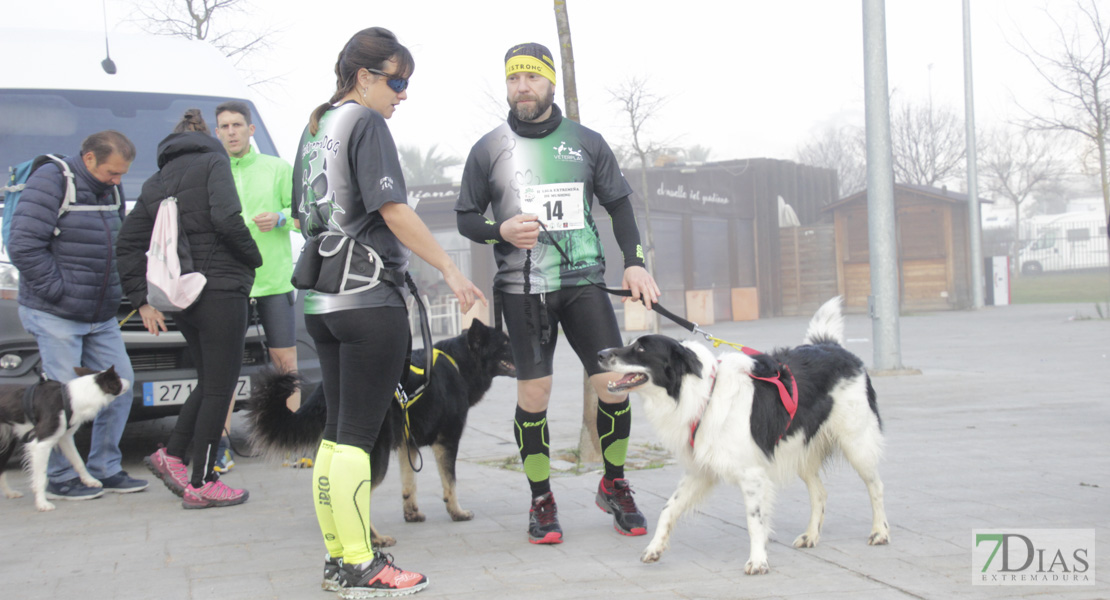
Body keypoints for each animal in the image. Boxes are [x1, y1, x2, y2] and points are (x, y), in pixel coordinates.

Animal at [245, 319, 512, 545]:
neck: (459, 362)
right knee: (354, 496)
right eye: (505, 344)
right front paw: (457, 512)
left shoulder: (407, 445)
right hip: (376, 457)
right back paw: (375, 539)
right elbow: (450, 483)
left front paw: (411, 513)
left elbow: (409, 483)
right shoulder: (447, 442)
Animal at [594, 297, 888, 572]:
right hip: (799, 448)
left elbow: (754, 520)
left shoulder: (752, 475)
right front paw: (654, 548)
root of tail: (833, 346)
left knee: (876, 486)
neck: (704, 395)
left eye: (641, 349)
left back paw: (880, 531)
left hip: (857, 443)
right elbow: (669, 508)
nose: (600, 353)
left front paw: (758, 561)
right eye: (630, 344)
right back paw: (811, 535)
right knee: (820, 492)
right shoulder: (700, 470)